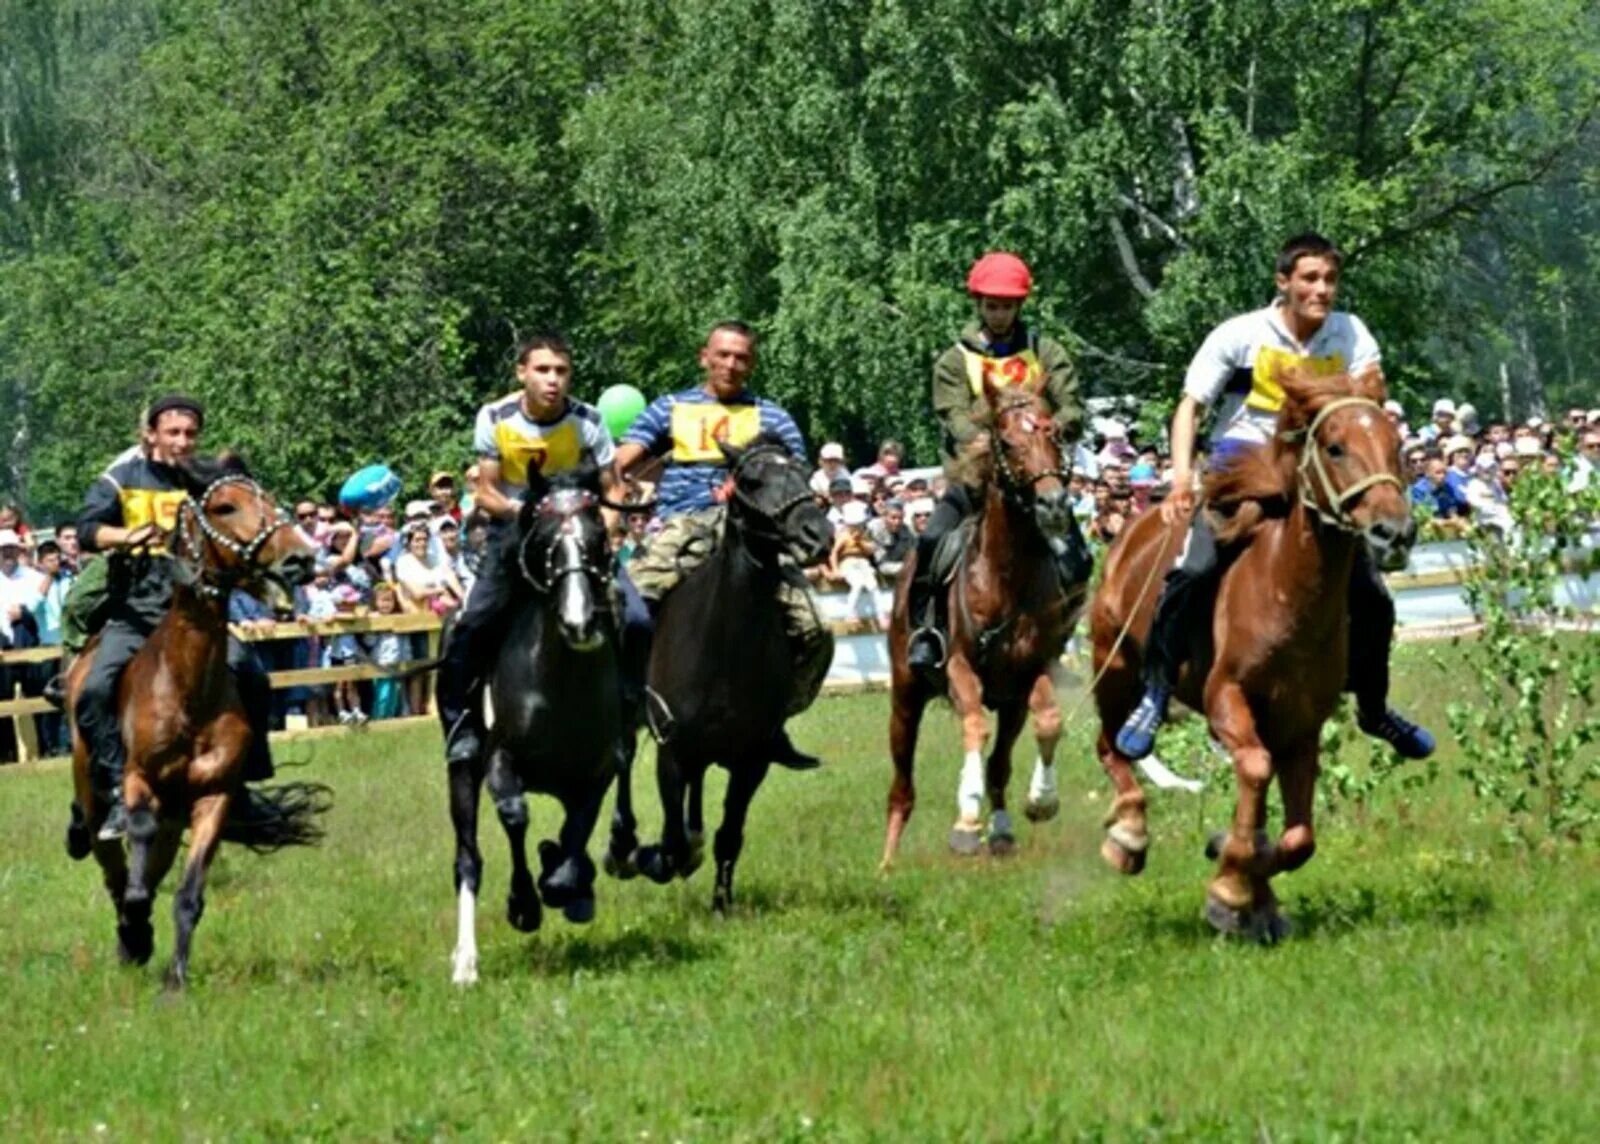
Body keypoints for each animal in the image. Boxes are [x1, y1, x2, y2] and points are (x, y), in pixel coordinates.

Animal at [65, 460, 326, 992]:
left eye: (270, 499)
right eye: (225, 507)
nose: (300, 559)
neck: (187, 691)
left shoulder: (213, 796)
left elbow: (186, 895)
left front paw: (175, 980)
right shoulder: (138, 782)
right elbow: (135, 868)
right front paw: (137, 931)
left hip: (175, 818)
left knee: (147, 871)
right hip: (94, 800)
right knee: (112, 867)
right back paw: (128, 934)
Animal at [454, 464, 627, 985]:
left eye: (599, 538)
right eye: (547, 540)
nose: (579, 622)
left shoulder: (596, 772)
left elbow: (576, 835)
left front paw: (565, 883)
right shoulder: (501, 759)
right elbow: (515, 816)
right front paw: (524, 905)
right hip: (463, 773)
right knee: (467, 860)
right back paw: (465, 964)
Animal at [876, 377, 1088, 870]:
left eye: (1054, 435)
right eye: (1007, 442)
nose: (1053, 504)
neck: (1006, 575)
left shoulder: (1032, 672)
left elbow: (1048, 723)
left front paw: (1041, 801)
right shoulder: (959, 668)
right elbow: (975, 725)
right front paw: (966, 822)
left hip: (1009, 702)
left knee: (1000, 764)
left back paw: (1003, 831)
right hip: (906, 697)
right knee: (902, 784)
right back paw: (888, 862)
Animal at [1088, 371, 1414, 947]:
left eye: (1395, 445)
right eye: (1334, 447)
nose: (1393, 532)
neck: (1285, 593)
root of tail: (1128, 534)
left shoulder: (1300, 725)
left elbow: (1298, 836)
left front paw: (1248, 890)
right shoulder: (1227, 698)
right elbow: (1258, 772)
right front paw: (1231, 889)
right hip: (1117, 669)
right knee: (1112, 745)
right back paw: (1128, 835)